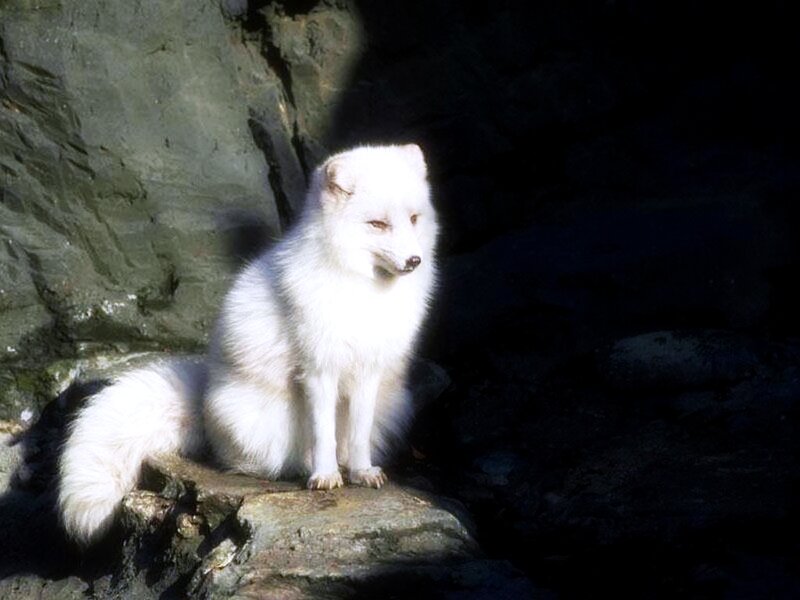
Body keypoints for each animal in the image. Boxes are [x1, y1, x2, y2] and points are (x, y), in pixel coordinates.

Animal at [58, 144, 438, 545]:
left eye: (414, 218)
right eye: (378, 224)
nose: (414, 260)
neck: (364, 291)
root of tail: (204, 394)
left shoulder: (368, 369)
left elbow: (358, 433)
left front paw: (362, 471)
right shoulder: (318, 370)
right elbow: (324, 433)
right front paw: (325, 476)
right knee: (244, 461)